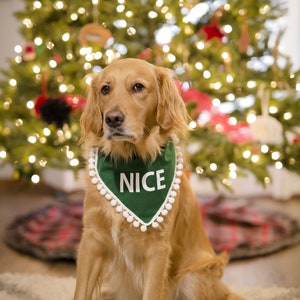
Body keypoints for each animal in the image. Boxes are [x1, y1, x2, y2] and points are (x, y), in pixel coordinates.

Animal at [74, 58, 243, 300]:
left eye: (138, 87)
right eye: (105, 89)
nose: (112, 119)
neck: (130, 162)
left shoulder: (158, 249)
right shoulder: (92, 239)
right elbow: (80, 292)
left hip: (193, 277)